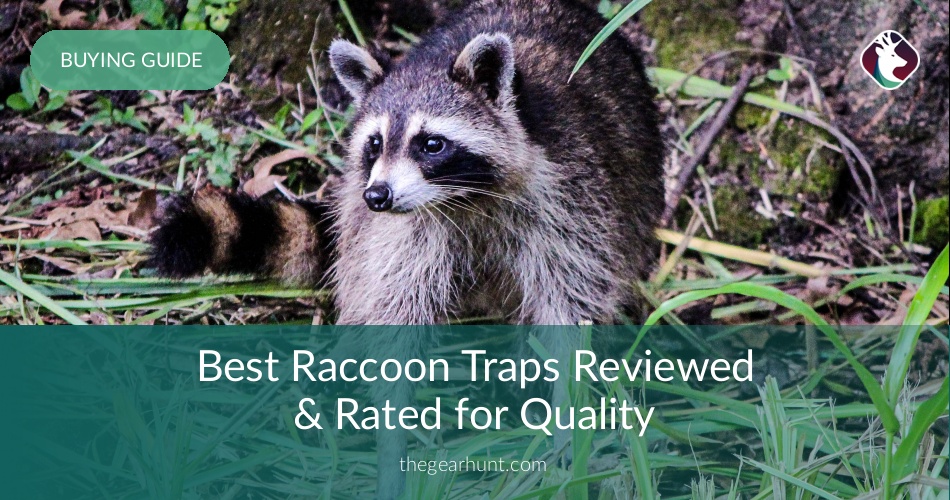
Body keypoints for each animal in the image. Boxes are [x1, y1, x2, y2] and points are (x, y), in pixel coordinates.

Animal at [152, 0, 663, 496]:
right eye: (375, 143)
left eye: (431, 144)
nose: (377, 196)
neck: (463, 200)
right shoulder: (401, 235)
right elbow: (393, 315)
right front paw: (392, 436)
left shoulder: (570, 199)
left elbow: (569, 307)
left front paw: (567, 423)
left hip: (638, 189)